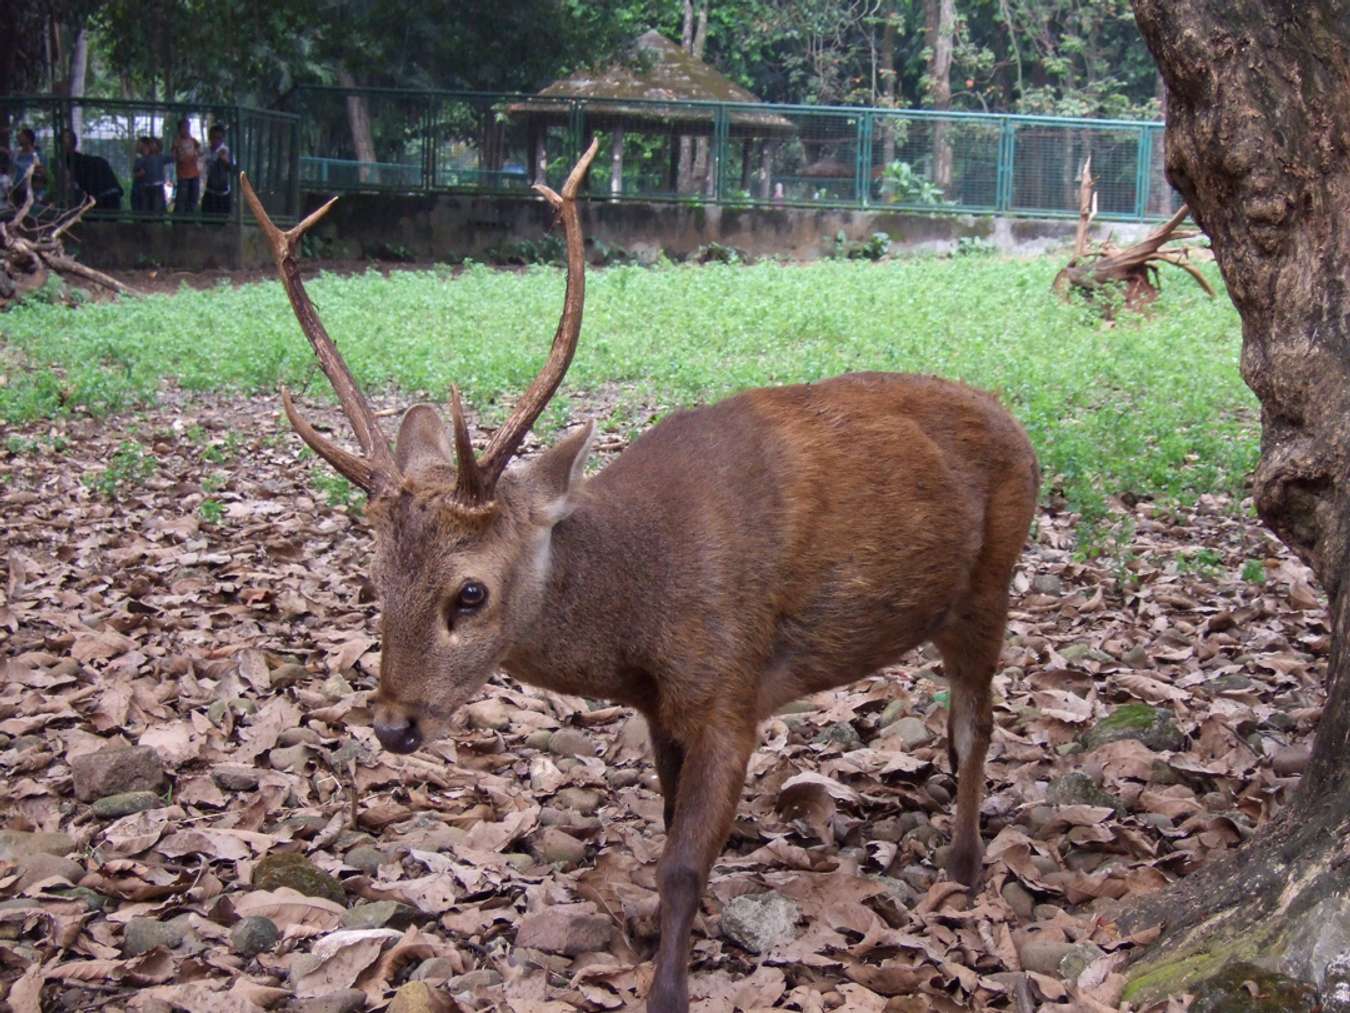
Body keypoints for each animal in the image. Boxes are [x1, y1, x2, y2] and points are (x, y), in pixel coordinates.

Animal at [243, 141, 1036, 1013]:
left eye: (470, 592)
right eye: (373, 579)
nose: (393, 723)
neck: (643, 615)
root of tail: (1024, 432)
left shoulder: (730, 689)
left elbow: (683, 859)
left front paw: (670, 987)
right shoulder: (662, 708)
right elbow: (664, 819)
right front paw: (670, 936)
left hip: (992, 584)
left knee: (977, 724)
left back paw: (964, 864)